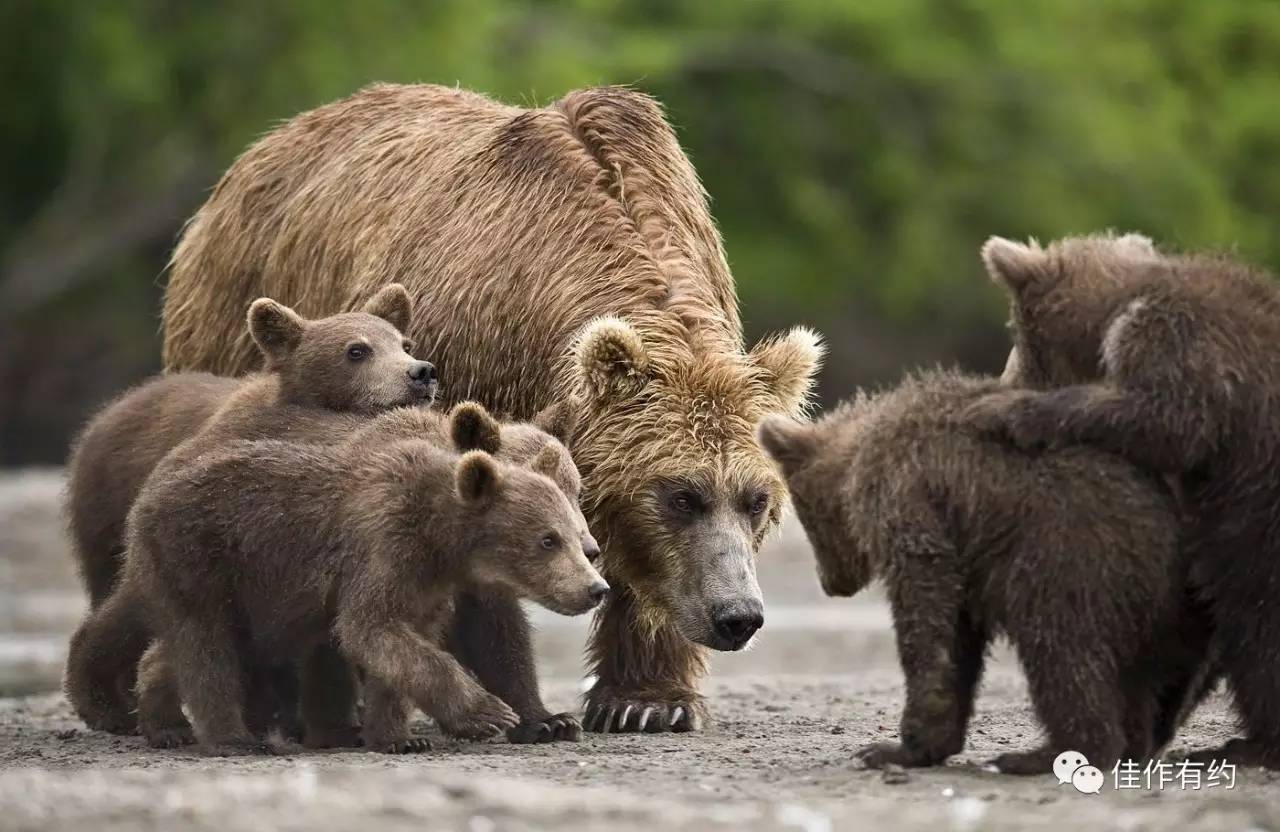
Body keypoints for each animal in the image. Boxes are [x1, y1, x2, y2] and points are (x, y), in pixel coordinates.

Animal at [63, 285, 435, 732]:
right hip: (115, 512)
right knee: (121, 594)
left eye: (405, 344)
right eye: (357, 350)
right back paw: (109, 701)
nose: (420, 373)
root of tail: (104, 414)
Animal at [123, 407, 604, 752]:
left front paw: (548, 720)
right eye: (548, 538)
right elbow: (368, 634)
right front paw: (485, 715)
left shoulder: (455, 587)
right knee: (207, 643)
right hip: (203, 560)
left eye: (577, 488)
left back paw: (165, 720)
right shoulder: (379, 555)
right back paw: (233, 736)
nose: (594, 563)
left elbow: (496, 640)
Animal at [752, 368, 1203, 773]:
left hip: (1071, 557)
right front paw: (931, 741)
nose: (830, 584)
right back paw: (1134, 743)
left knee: (1059, 648)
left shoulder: (911, 497)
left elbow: (926, 609)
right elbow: (960, 636)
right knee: (1135, 678)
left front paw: (893, 746)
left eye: (803, 513)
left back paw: (1045, 754)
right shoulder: (966, 556)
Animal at [967, 232, 1280, 762]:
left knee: (1255, 618)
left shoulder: (1182, 341)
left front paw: (1006, 412)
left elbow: (1163, 417)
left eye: (1017, 340)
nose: (1002, 378)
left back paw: (1246, 744)